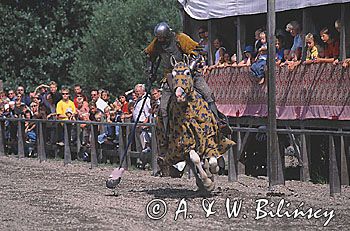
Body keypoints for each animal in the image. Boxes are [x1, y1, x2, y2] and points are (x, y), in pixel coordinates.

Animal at [157, 55, 237, 191]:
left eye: (187, 73)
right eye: (173, 75)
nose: (179, 94)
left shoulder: (209, 137)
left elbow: (212, 160)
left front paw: (213, 172)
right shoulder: (186, 142)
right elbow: (195, 159)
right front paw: (207, 182)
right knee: (192, 162)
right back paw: (202, 182)